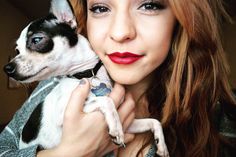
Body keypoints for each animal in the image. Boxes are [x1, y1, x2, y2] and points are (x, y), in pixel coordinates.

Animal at [4, 0, 170, 156]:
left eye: (36, 40)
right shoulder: (64, 113)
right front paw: (116, 129)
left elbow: (154, 121)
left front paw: (162, 145)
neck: (86, 74)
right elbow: (106, 100)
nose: (7, 68)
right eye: (17, 50)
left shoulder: (129, 123)